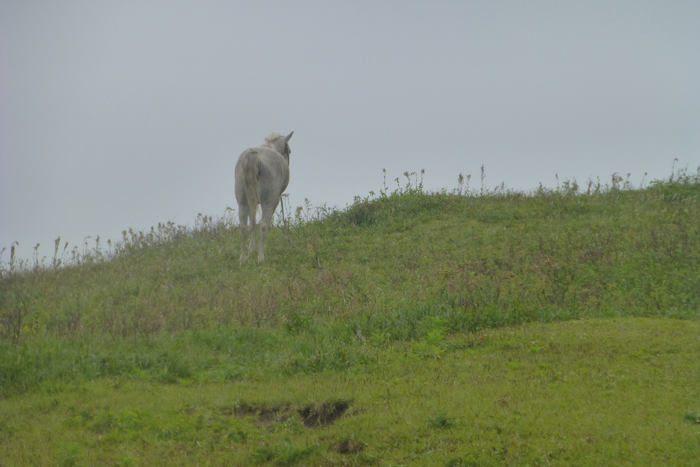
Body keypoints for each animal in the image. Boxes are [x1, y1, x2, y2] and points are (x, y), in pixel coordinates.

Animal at [234, 133, 292, 264]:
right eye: (289, 151)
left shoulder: (253, 202)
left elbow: (252, 224)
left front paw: (251, 251)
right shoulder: (274, 202)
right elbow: (264, 225)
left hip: (243, 202)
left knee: (243, 228)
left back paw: (243, 259)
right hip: (268, 202)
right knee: (263, 226)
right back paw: (261, 258)